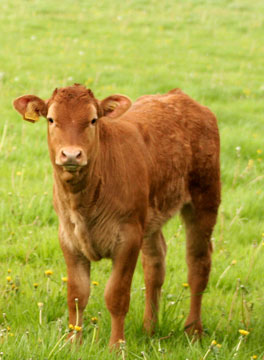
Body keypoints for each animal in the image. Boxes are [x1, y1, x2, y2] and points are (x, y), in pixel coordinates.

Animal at [13, 84, 221, 346]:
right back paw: (149, 328)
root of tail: (178, 95)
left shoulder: (128, 238)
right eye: (51, 119)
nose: (71, 155)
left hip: (205, 199)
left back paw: (193, 330)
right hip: (150, 218)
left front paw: (116, 346)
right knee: (155, 265)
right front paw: (73, 343)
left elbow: (117, 296)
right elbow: (77, 295)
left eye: (93, 120)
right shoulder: (68, 238)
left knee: (198, 264)